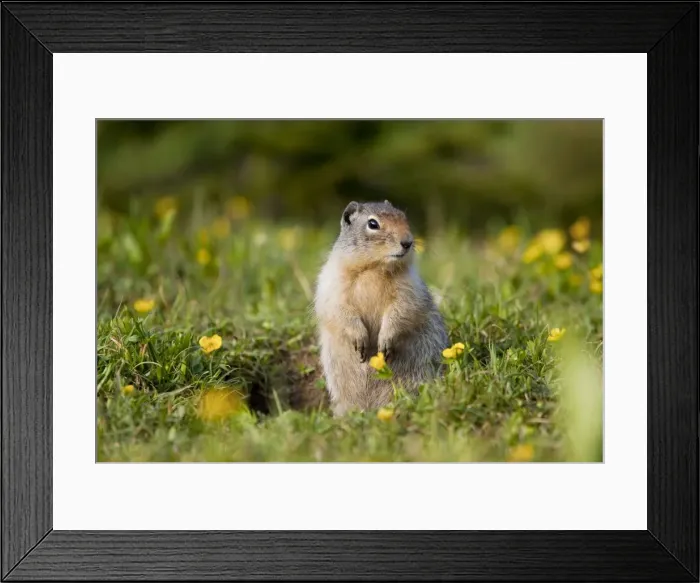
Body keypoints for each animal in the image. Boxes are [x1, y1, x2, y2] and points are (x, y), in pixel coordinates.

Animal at [314, 200, 449, 415]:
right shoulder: (333, 284)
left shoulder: (409, 288)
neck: (375, 268)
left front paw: (385, 341)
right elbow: (339, 309)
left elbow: (401, 309)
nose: (408, 242)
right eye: (373, 224)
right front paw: (360, 338)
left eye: (403, 216)